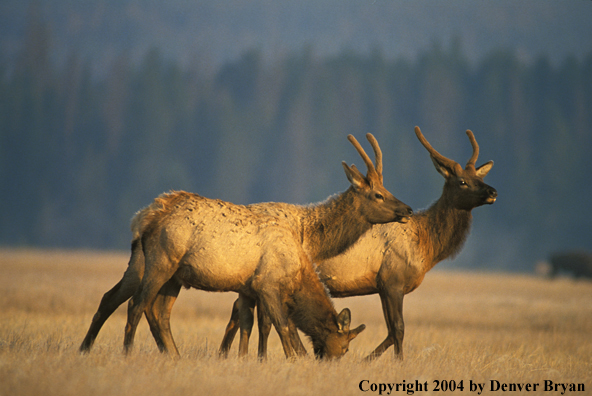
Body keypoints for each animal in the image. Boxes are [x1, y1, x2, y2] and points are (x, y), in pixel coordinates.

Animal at [80, 133, 412, 358]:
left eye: (387, 189)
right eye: (378, 195)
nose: (407, 209)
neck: (309, 238)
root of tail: (144, 216)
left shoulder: (248, 285)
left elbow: (248, 322)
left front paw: (243, 358)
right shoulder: (264, 283)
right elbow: (272, 325)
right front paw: (264, 359)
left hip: (155, 268)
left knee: (125, 302)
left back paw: (97, 349)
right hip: (161, 261)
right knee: (137, 304)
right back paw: (127, 353)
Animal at [220, 126, 498, 358]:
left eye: (481, 179)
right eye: (462, 182)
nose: (493, 191)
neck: (426, 247)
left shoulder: (381, 286)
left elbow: (390, 331)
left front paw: (365, 359)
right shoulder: (392, 280)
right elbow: (398, 329)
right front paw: (391, 362)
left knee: (238, 309)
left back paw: (225, 353)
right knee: (256, 316)